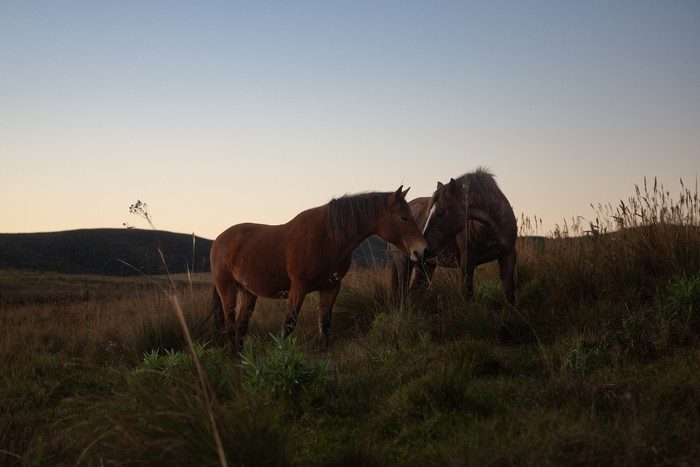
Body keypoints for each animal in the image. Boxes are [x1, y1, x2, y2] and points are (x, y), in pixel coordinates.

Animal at [209, 186, 426, 348]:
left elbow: (325, 324)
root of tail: (220, 239)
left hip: (248, 293)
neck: (327, 238)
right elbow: (289, 325)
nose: (423, 250)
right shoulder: (299, 287)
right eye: (404, 218)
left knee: (240, 328)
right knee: (230, 326)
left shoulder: (331, 287)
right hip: (227, 290)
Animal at [392, 168, 516, 308]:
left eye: (440, 212)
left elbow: (510, 293)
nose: (424, 248)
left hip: (425, 267)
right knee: (402, 295)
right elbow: (467, 294)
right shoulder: (467, 261)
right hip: (404, 264)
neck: (493, 226)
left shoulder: (508, 256)